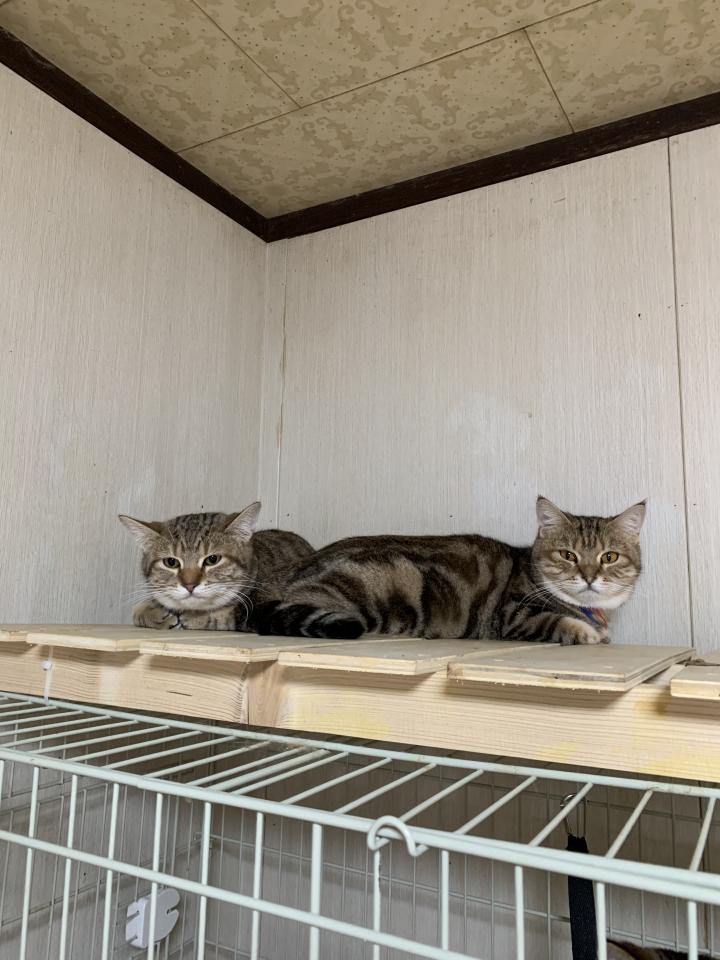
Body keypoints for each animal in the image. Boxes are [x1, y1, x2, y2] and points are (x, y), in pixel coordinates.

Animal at [119, 501, 313, 630]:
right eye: (171, 562)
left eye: (212, 559)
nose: (190, 585)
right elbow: (137, 610)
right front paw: (153, 613)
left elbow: (223, 615)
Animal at [255, 497, 645, 643]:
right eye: (567, 554)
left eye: (609, 557)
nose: (589, 576)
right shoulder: (514, 615)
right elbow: (560, 622)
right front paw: (588, 632)